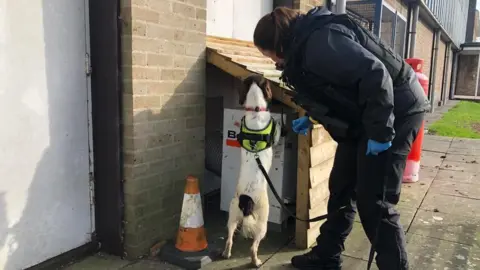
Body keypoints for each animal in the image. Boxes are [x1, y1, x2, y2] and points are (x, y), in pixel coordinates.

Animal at [223, 75, 284, 266]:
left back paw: (226, 253)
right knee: (253, 247)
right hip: (263, 221)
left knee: (229, 238)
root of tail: (246, 199)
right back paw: (256, 262)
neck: (256, 110)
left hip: (232, 213)